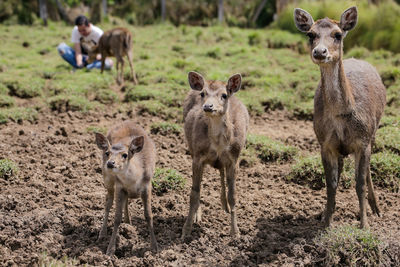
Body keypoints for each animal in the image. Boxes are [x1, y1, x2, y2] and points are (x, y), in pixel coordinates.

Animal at [95, 121, 158, 255]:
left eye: (125, 155)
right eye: (107, 153)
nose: (110, 163)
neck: (134, 180)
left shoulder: (147, 185)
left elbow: (149, 215)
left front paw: (154, 247)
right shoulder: (120, 186)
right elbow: (117, 217)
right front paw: (110, 250)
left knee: (126, 201)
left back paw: (129, 223)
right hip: (107, 179)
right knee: (108, 202)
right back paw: (102, 234)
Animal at [182, 70, 250, 239]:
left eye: (224, 95)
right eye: (203, 93)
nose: (208, 106)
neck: (219, 144)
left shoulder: (235, 158)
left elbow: (233, 195)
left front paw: (235, 233)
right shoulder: (198, 156)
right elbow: (194, 193)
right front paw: (186, 230)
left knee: (221, 170)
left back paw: (224, 205)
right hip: (191, 147)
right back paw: (198, 215)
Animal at [294, 6, 384, 228]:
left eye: (337, 34)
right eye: (311, 34)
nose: (320, 52)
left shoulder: (363, 140)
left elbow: (359, 183)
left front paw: (364, 224)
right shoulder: (325, 143)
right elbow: (331, 183)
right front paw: (326, 222)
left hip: (374, 131)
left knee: (368, 171)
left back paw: (377, 209)